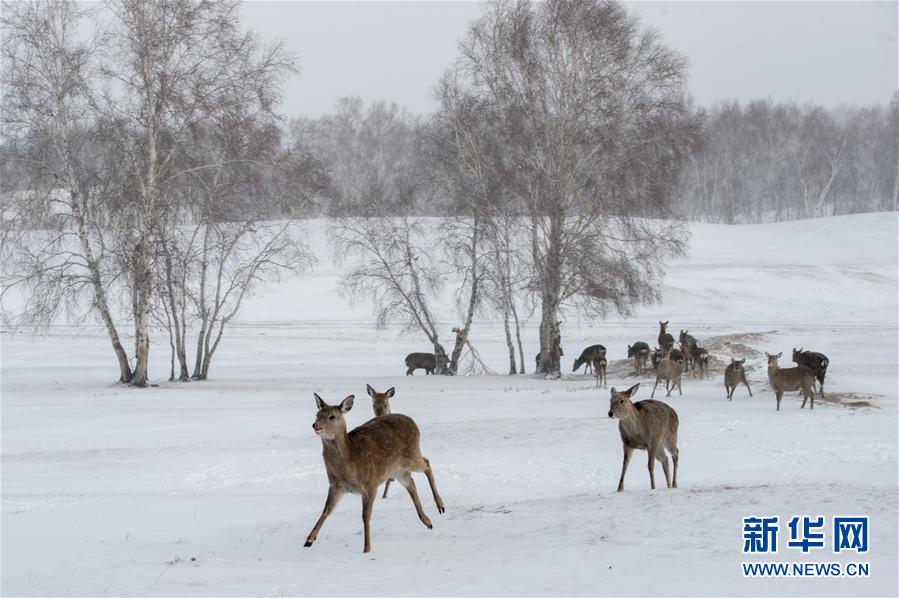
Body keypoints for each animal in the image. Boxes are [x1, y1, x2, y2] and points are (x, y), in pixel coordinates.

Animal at [304, 396, 444, 556]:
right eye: (317, 414)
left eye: (332, 416)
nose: (315, 425)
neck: (350, 464)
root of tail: (413, 422)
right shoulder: (336, 485)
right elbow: (326, 510)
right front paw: (309, 540)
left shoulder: (370, 485)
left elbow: (366, 516)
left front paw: (366, 548)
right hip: (397, 469)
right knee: (411, 483)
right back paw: (428, 522)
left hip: (411, 454)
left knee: (427, 463)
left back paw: (441, 506)